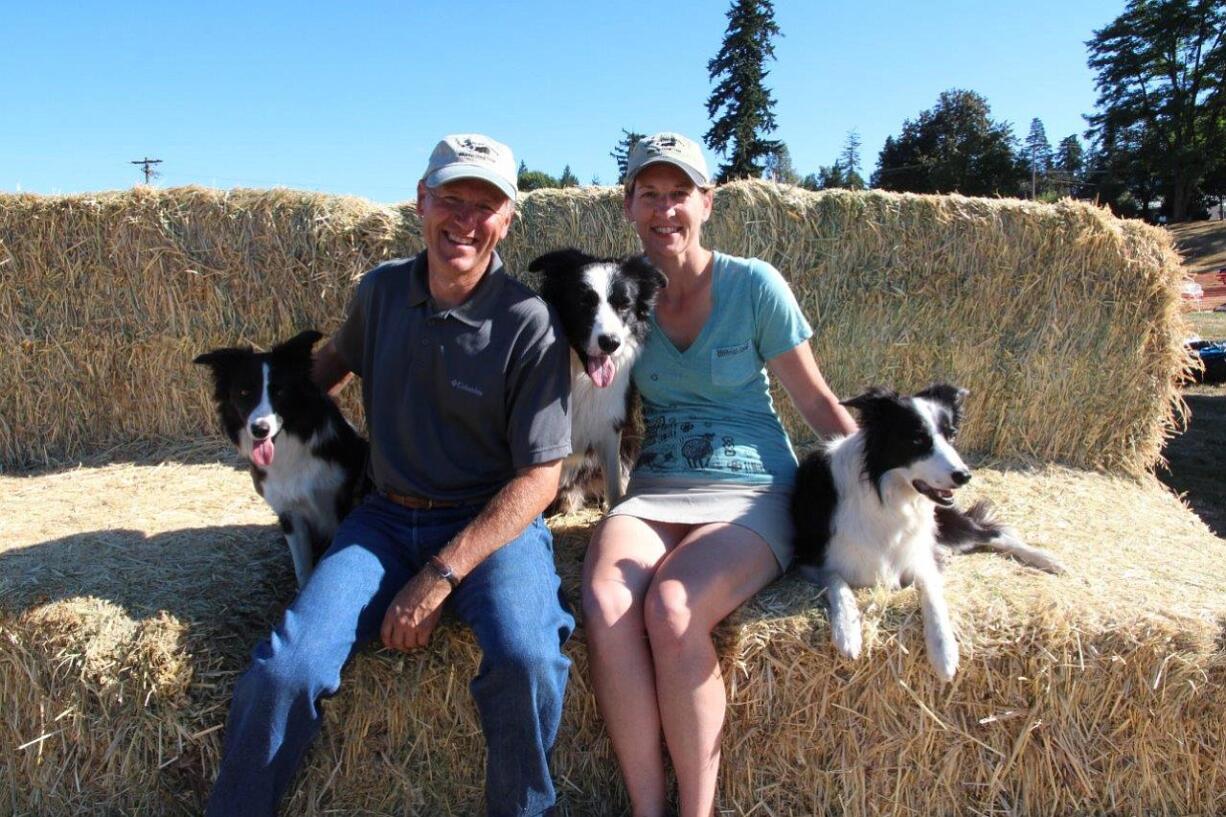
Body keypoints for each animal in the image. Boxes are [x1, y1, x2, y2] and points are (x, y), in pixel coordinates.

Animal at [193, 328, 365, 588]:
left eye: (280, 391)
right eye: (244, 392)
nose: (260, 429)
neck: (289, 447)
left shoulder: (339, 502)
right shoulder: (289, 513)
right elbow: (303, 569)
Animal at [524, 247, 666, 510]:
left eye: (624, 305)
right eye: (583, 303)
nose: (610, 343)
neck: (581, 378)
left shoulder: (609, 429)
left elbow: (615, 488)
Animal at [794, 385, 1064, 677]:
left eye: (951, 435)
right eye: (917, 439)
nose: (964, 476)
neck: (887, 495)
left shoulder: (917, 557)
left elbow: (932, 593)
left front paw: (944, 652)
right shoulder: (811, 560)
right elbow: (838, 583)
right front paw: (848, 631)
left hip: (946, 522)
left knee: (992, 532)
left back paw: (1049, 559)